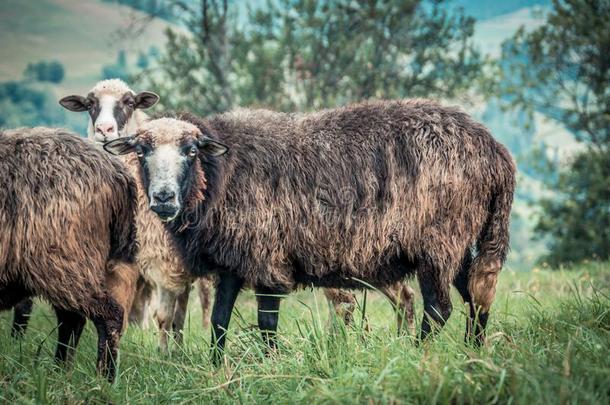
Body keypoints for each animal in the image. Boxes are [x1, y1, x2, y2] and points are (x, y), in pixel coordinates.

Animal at [0, 128, 138, 380]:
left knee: (106, 316)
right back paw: (60, 371)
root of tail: (117, 172)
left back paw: (103, 378)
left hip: (64, 262)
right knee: (72, 319)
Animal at [57, 79, 214, 350]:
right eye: (89, 104)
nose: (104, 129)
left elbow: (165, 313)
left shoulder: (162, 260)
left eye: (129, 102)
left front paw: (165, 351)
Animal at [104, 98, 512, 360]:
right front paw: (218, 367)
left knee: (440, 307)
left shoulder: (267, 258)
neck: (221, 173)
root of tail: (496, 152)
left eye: (191, 151)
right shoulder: (235, 260)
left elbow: (266, 322)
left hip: (439, 240)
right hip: (463, 240)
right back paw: (473, 352)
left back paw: (417, 354)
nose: (163, 198)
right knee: (476, 294)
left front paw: (268, 364)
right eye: (141, 151)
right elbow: (220, 322)